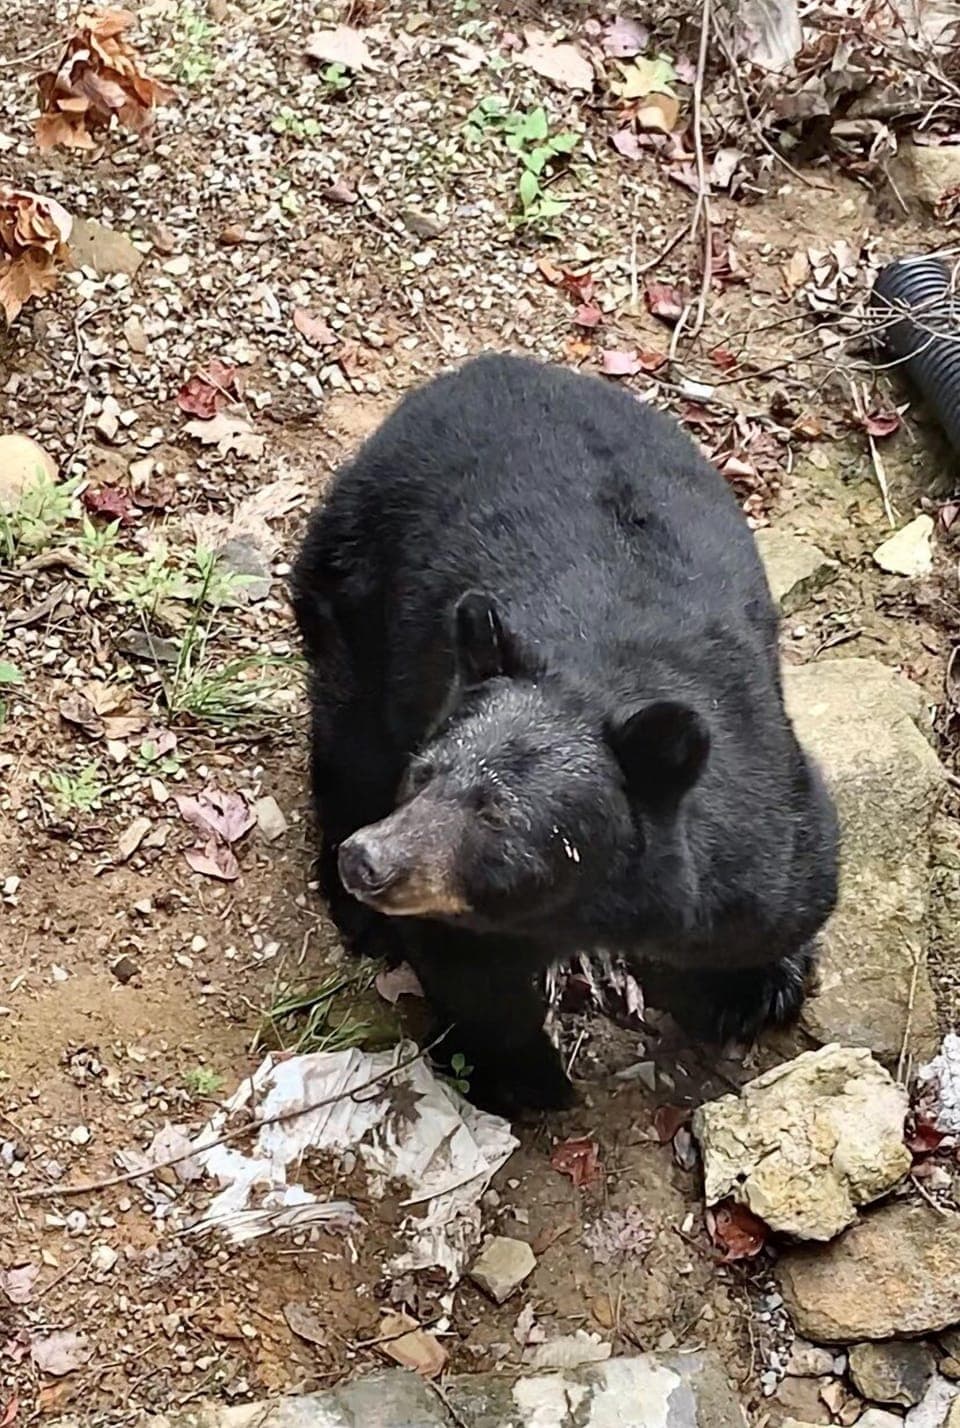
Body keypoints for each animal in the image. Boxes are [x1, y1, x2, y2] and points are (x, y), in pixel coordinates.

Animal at [291, 353, 839, 1115]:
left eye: (498, 814)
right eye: (423, 776)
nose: (369, 861)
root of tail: (486, 365)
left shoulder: (751, 813)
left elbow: (786, 890)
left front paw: (756, 990)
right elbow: (468, 969)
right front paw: (524, 1075)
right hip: (355, 588)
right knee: (351, 739)